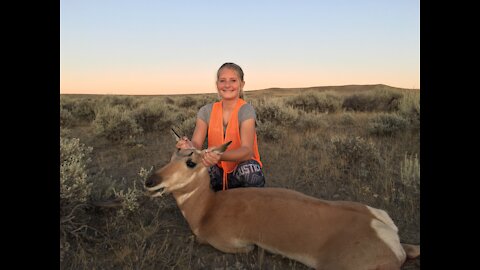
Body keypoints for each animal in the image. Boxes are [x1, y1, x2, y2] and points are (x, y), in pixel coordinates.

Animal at [145, 134, 420, 268]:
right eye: (172, 155)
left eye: (191, 161)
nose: (149, 181)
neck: (210, 207)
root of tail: (387, 234)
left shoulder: (232, 243)